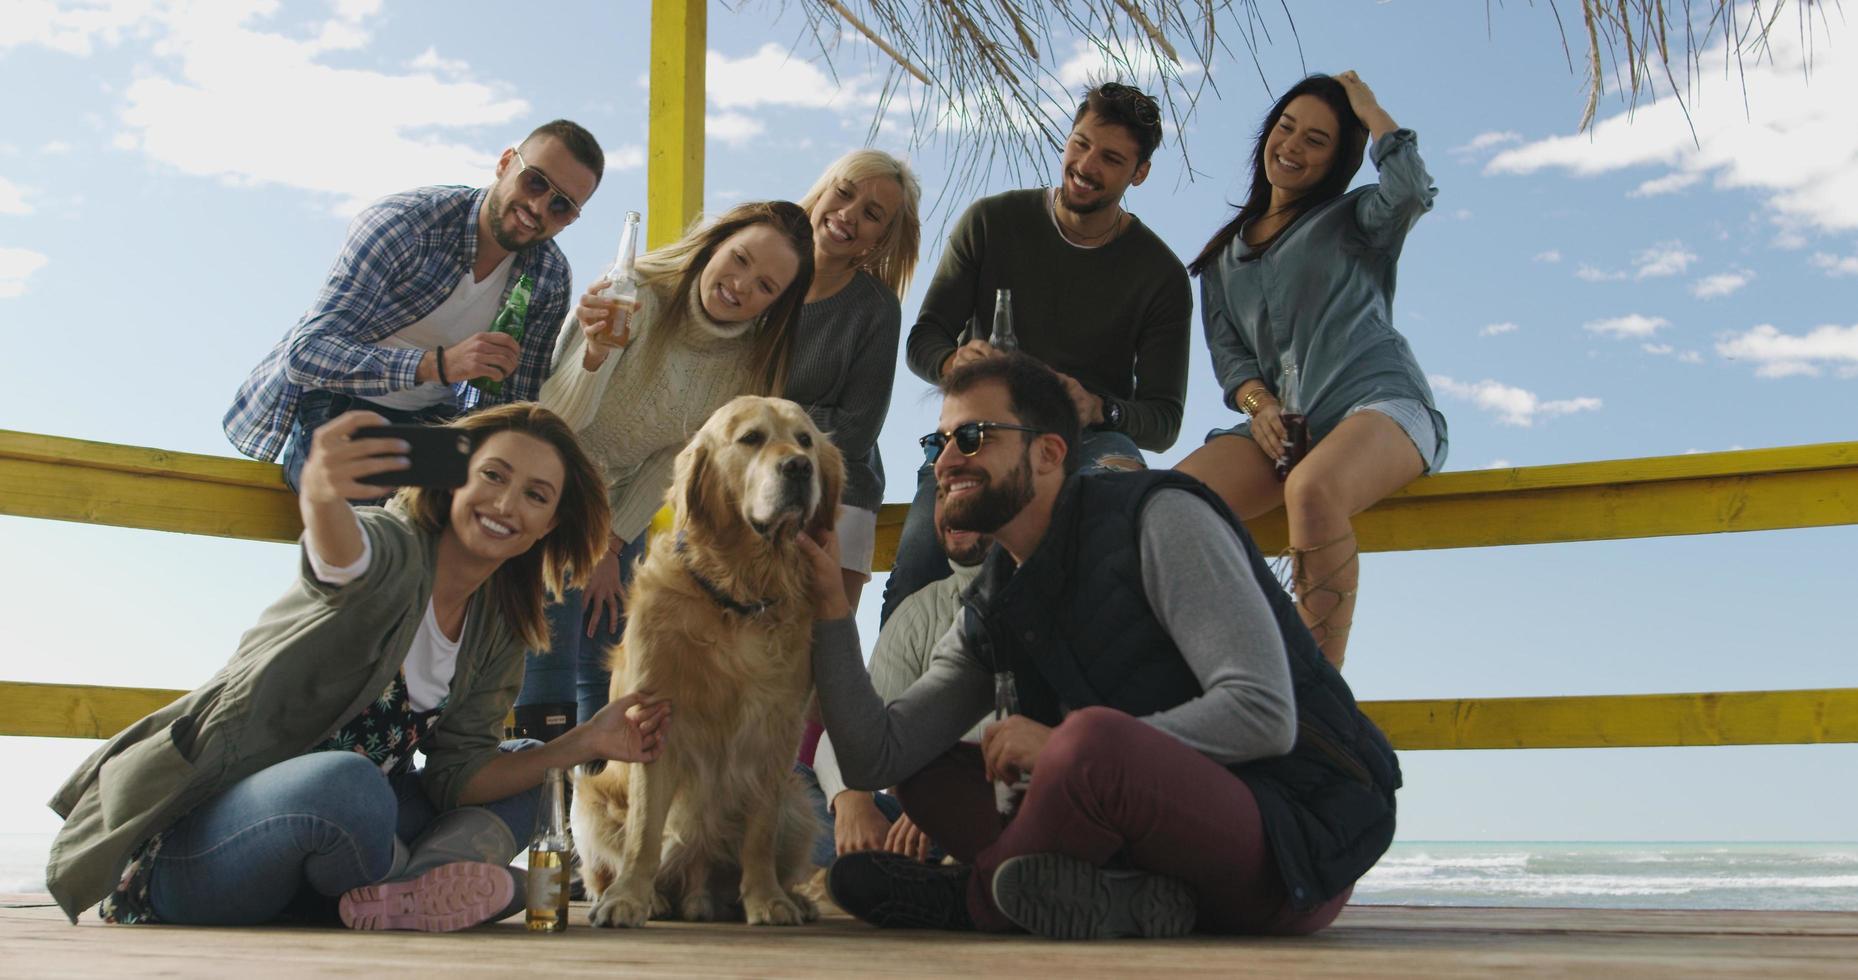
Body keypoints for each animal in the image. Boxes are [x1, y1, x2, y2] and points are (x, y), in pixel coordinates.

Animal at [572, 396, 850, 929]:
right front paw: (628, 898)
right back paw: (642, 898)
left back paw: (790, 899)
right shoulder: (653, 721)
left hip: (798, 803)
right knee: (607, 862)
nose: (799, 467)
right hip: (588, 800)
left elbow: (759, 834)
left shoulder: (776, 730)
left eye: (805, 440)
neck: (739, 596)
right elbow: (643, 832)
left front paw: (766, 899)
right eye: (751, 439)